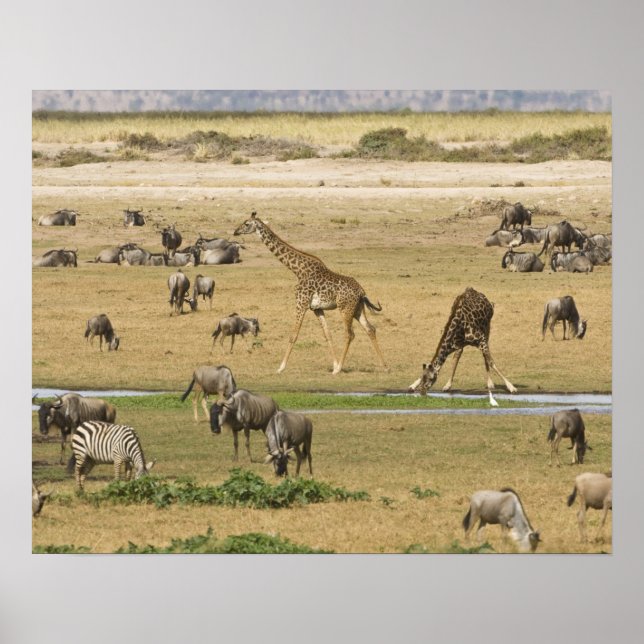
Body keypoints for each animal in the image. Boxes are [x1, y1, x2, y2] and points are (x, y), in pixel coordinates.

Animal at [233, 211, 387, 374]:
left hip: (345, 308)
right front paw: (334, 364)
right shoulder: (316, 308)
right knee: (370, 329)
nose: (235, 231)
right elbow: (327, 334)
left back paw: (339, 369)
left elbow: (293, 335)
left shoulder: (301, 303)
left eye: (246, 224)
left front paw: (281, 367)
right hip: (357, 309)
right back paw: (384, 366)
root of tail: (361, 292)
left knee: (349, 334)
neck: (298, 270)